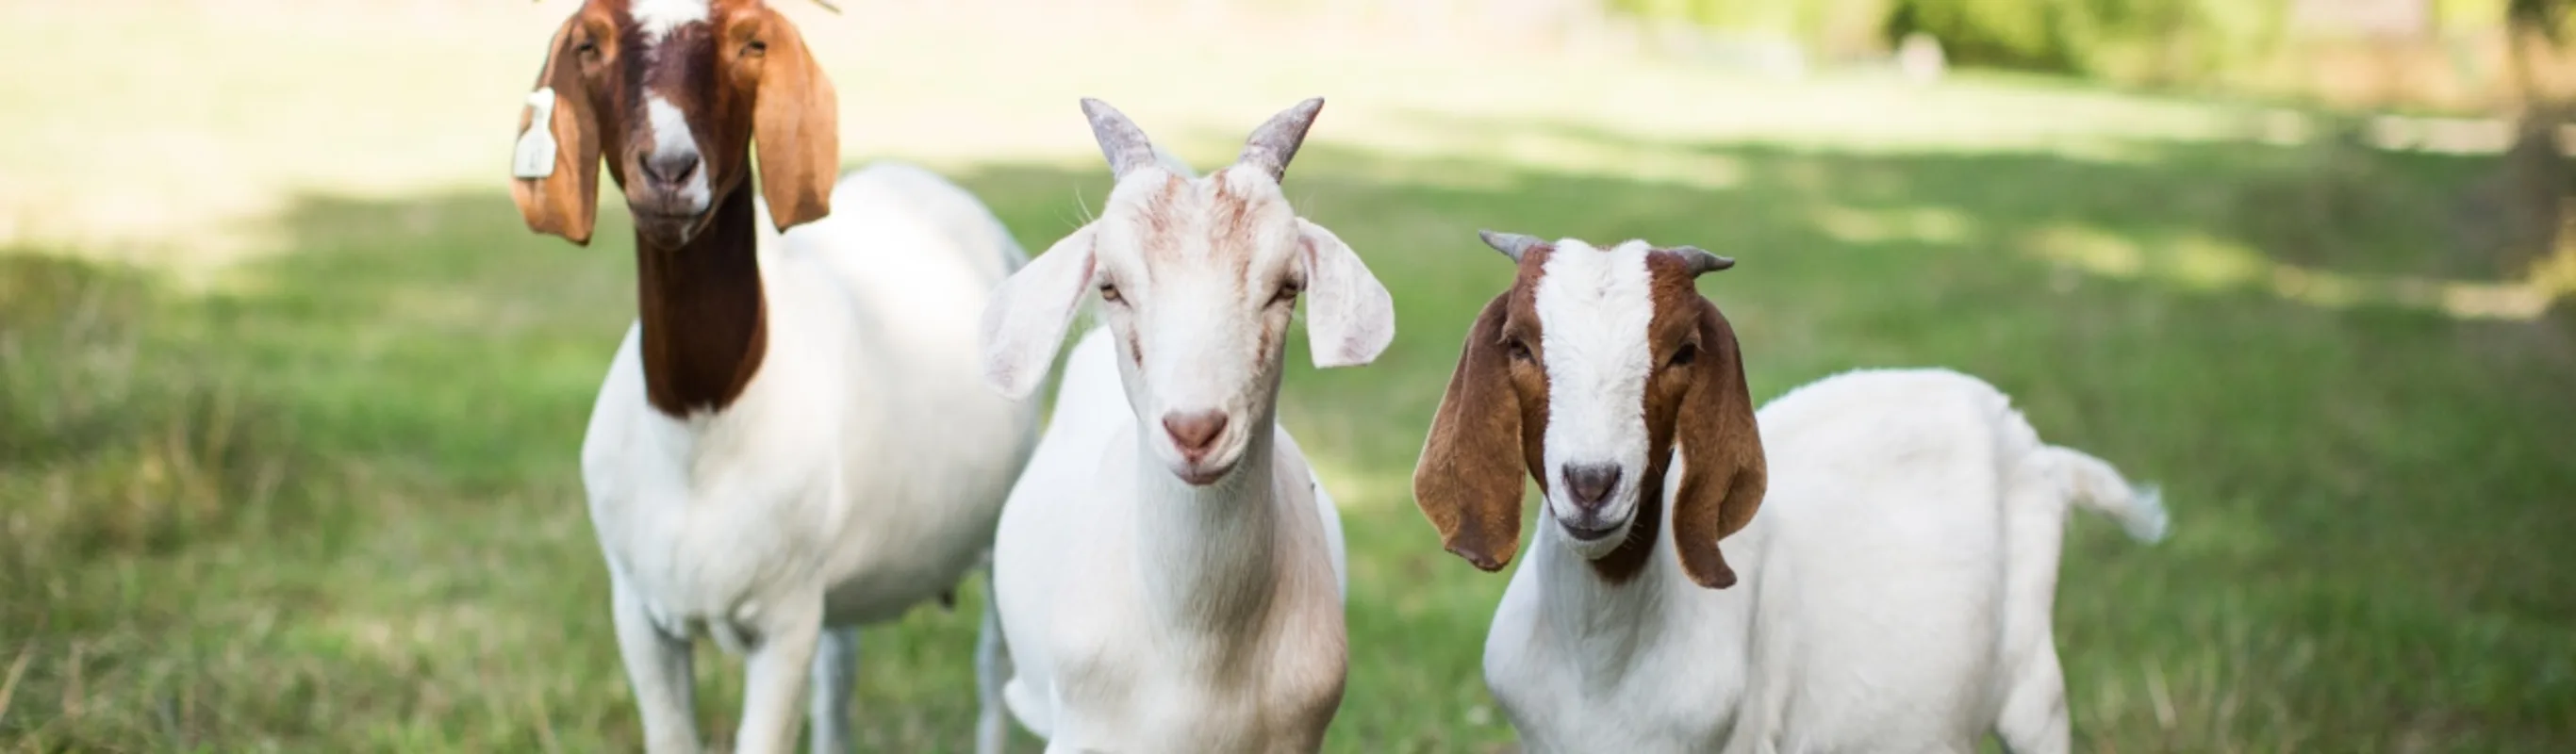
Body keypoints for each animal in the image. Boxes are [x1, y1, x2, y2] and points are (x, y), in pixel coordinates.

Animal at [512, 3, 1035, 746]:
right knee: (840, 677)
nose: (668, 169)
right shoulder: (639, 614)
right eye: (590, 44)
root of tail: (920, 177)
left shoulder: (783, 624)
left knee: (993, 673)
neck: (701, 426)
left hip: (994, 527)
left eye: (751, 43)